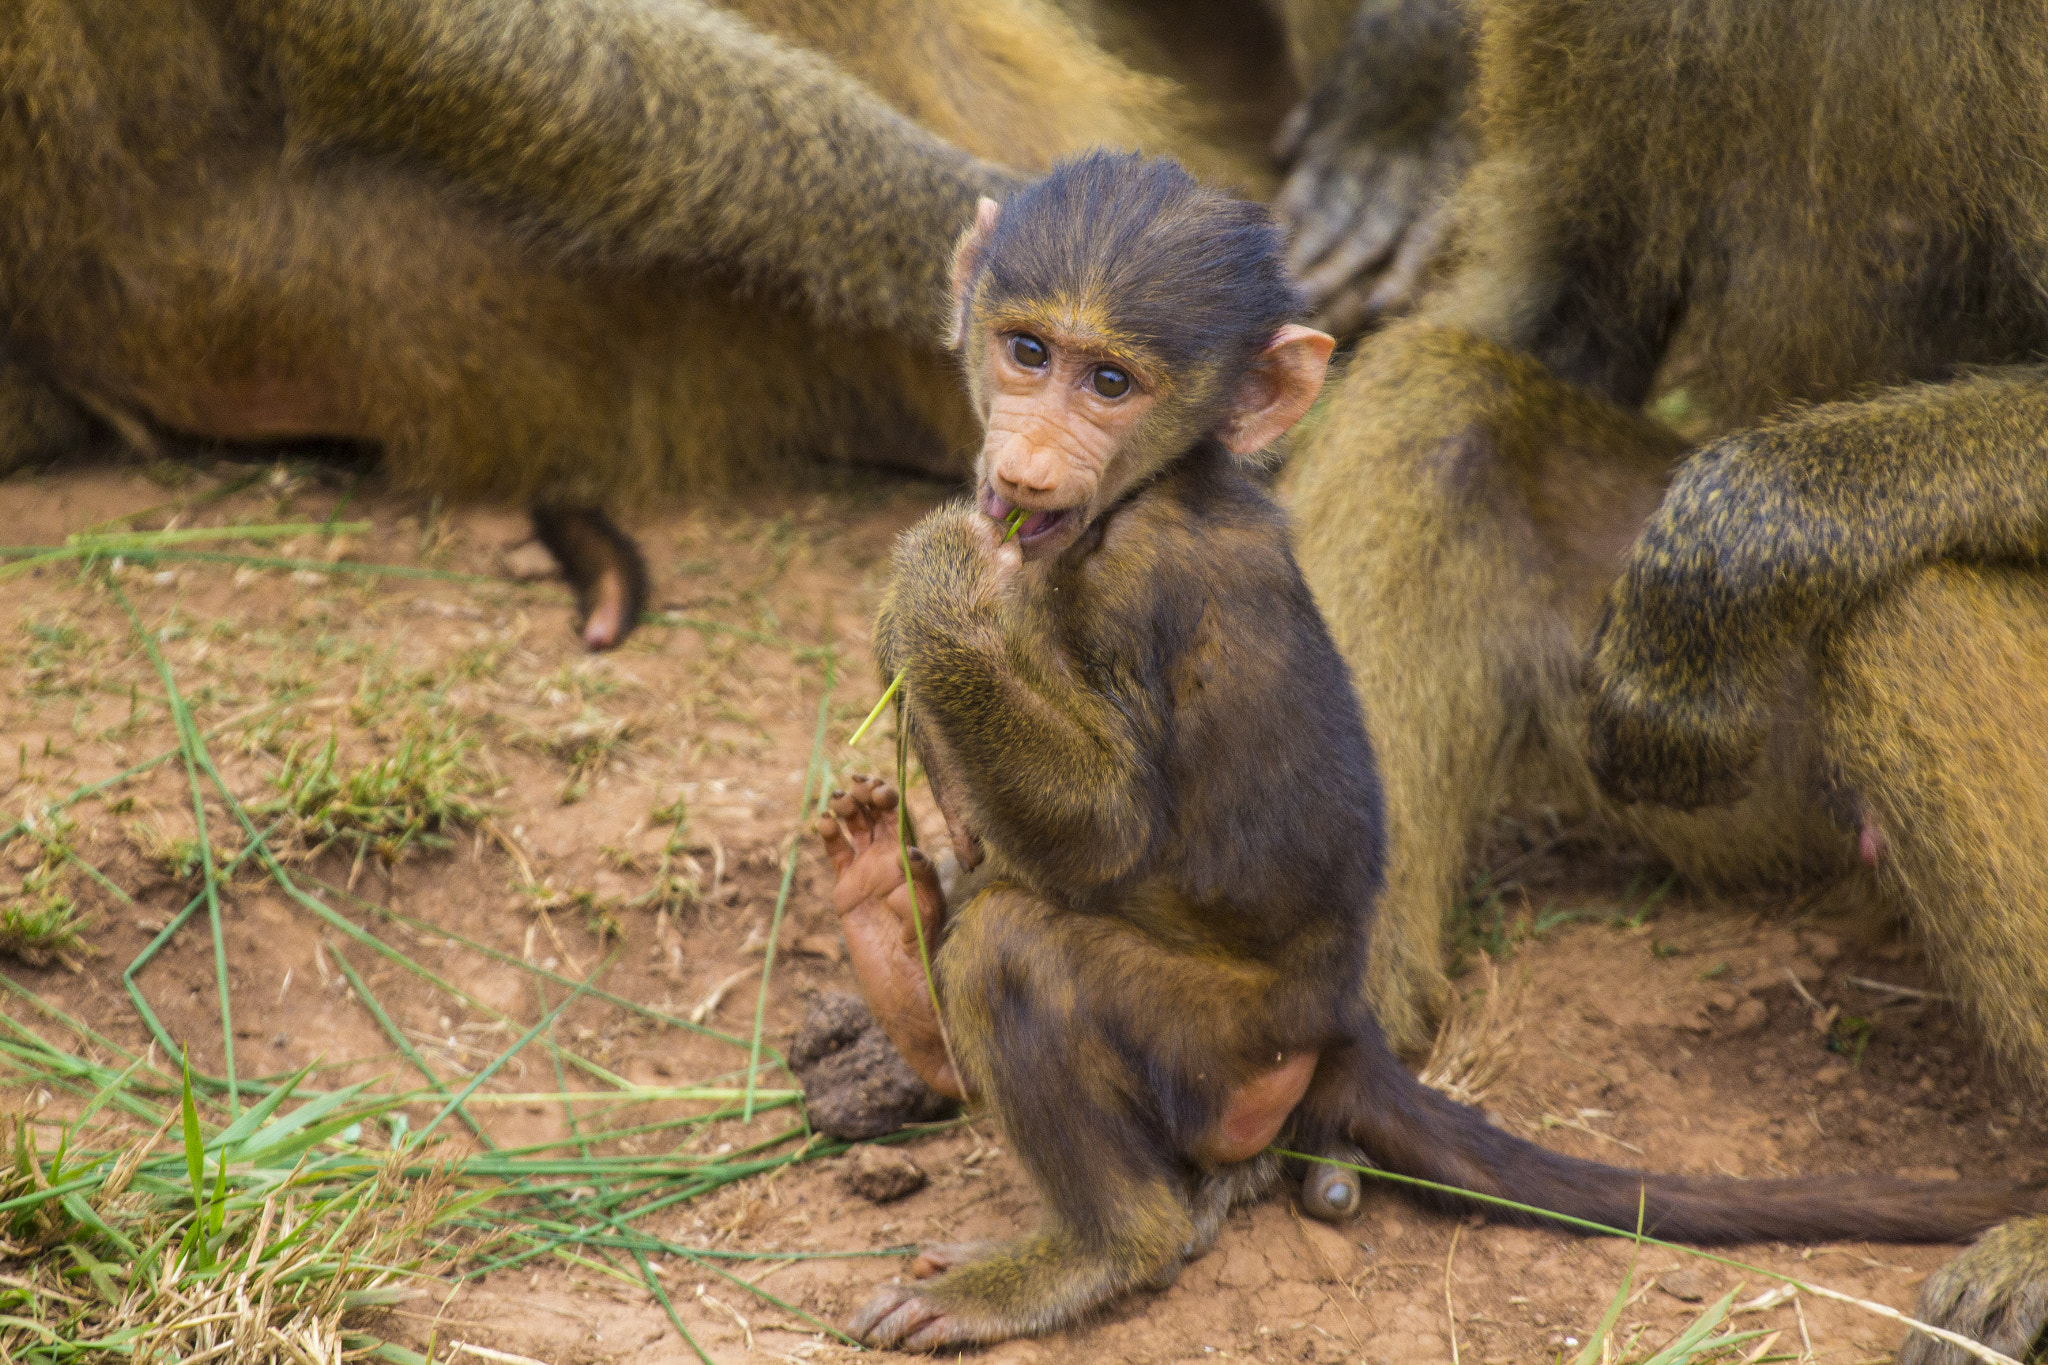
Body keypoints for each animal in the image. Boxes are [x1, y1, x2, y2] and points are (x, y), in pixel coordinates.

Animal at [811, 150, 2045, 1352]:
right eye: (1027, 352)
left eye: (1110, 384)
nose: (1024, 462)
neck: (1150, 490)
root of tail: (1339, 1032)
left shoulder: (1137, 580)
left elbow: (1107, 829)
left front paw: (937, 596)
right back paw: (888, 934)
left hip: (1223, 1048)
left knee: (1013, 946)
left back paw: (1098, 1248)